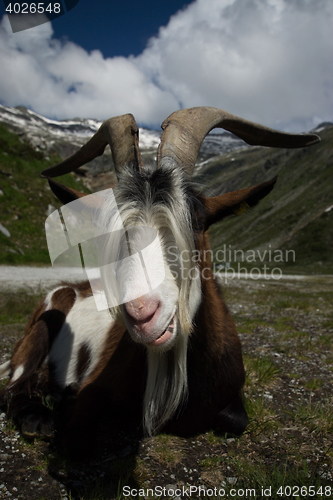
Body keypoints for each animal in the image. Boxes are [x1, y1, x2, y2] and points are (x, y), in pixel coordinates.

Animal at [0, 108, 318, 458]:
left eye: (196, 223)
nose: (142, 314)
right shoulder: (94, 388)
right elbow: (77, 439)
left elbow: (235, 419)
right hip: (45, 319)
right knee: (14, 384)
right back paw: (37, 417)